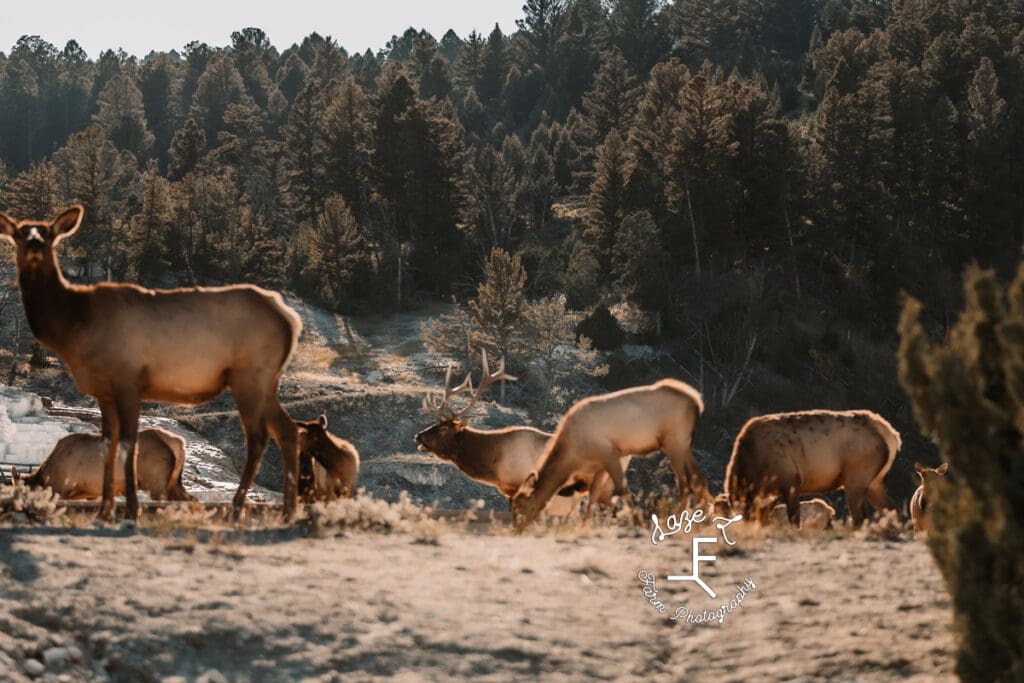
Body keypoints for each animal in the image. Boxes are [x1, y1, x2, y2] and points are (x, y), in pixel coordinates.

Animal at [10, 428, 193, 501]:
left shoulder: (61, 488)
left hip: (156, 482)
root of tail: (179, 443)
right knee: (190, 500)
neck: (46, 477)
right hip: (173, 482)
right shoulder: (89, 492)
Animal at [509, 378, 708, 528]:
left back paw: (677, 521)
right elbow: (593, 496)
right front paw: (584, 526)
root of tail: (697, 401)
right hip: (684, 445)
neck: (572, 455)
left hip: (675, 443)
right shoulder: (600, 466)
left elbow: (621, 489)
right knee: (698, 478)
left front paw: (638, 523)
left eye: (521, 508)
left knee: (684, 483)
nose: (515, 529)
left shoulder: (609, 454)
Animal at [724, 411, 901, 528]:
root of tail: (892, 436)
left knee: (860, 517)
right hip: (875, 481)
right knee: (891, 508)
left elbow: (794, 520)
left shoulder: (791, 481)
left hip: (856, 477)